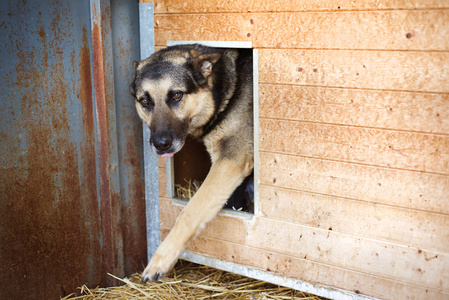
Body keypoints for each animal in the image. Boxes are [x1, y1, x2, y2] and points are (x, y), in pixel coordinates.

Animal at [131, 43, 254, 282]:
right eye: (144, 101)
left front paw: (160, 260)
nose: (160, 144)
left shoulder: (229, 162)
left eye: (176, 95)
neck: (226, 90)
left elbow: (189, 213)